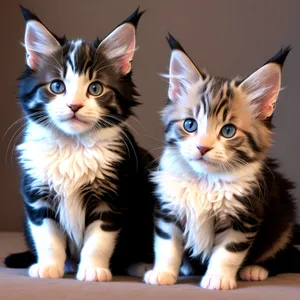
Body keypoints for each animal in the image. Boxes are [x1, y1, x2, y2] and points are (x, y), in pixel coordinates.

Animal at [4, 5, 155, 282]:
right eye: (56, 86)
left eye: (95, 88)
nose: (74, 106)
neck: (72, 146)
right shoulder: (38, 195)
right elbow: (48, 238)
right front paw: (48, 267)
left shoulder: (111, 197)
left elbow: (98, 242)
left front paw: (93, 269)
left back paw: (141, 265)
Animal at [144, 34, 298, 290]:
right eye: (190, 125)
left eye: (228, 131)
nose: (202, 147)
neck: (205, 180)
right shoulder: (168, 209)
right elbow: (166, 246)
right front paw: (162, 273)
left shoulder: (244, 217)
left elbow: (227, 252)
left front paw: (218, 278)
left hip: (284, 217)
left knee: (281, 254)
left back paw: (256, 269)